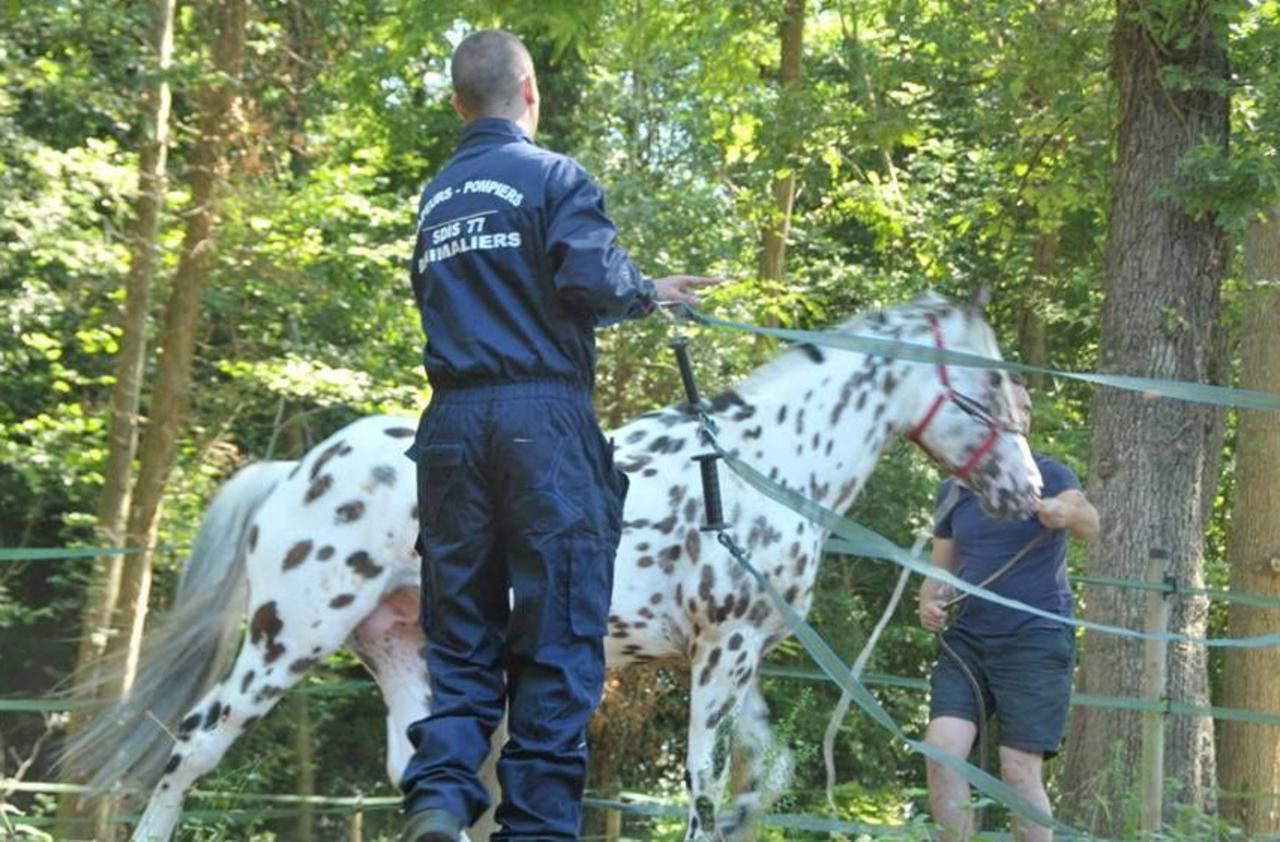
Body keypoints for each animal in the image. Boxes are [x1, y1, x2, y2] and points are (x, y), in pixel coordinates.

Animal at [60, 290, 1039, 839]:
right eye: (990, 385)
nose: (1028, 489)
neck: (757, 463)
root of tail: (295, 472)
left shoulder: (741, 656)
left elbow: (767, 770)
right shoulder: (719, 654)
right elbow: (703, 783)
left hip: (402, 646)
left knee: (426, 775)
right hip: (288, 638)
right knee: (191, 747)